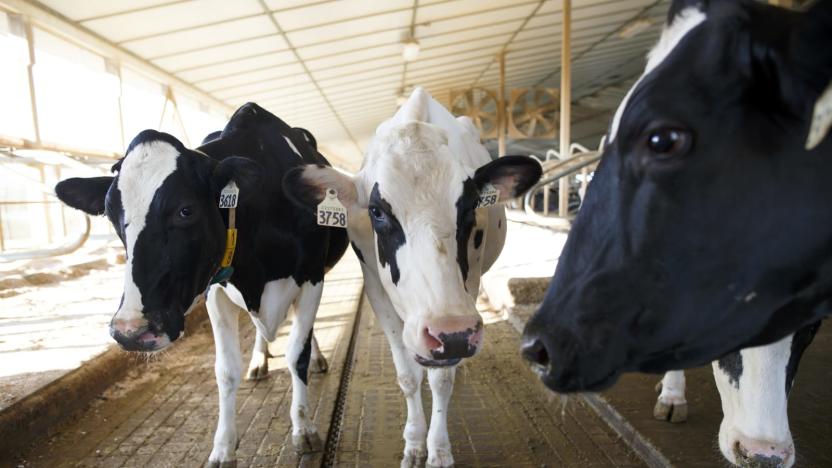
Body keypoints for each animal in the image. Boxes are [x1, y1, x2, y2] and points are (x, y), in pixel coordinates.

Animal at [54, 103, 348, 468]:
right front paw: (222, 448)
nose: (130, 331)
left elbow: (298, 354)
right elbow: (225, 370)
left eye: (185, 210)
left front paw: (304, 428)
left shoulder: (312, 278)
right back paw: (259, 361)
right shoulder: (215, 291)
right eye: (110, 216)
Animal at [282, 87, 544, 464]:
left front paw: (438, 451)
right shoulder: (376, 288)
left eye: (470, 207)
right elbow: (407, 375)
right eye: (376, 211)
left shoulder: (468, 286)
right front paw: (414, 442)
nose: (452, 333)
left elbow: (441, 380)